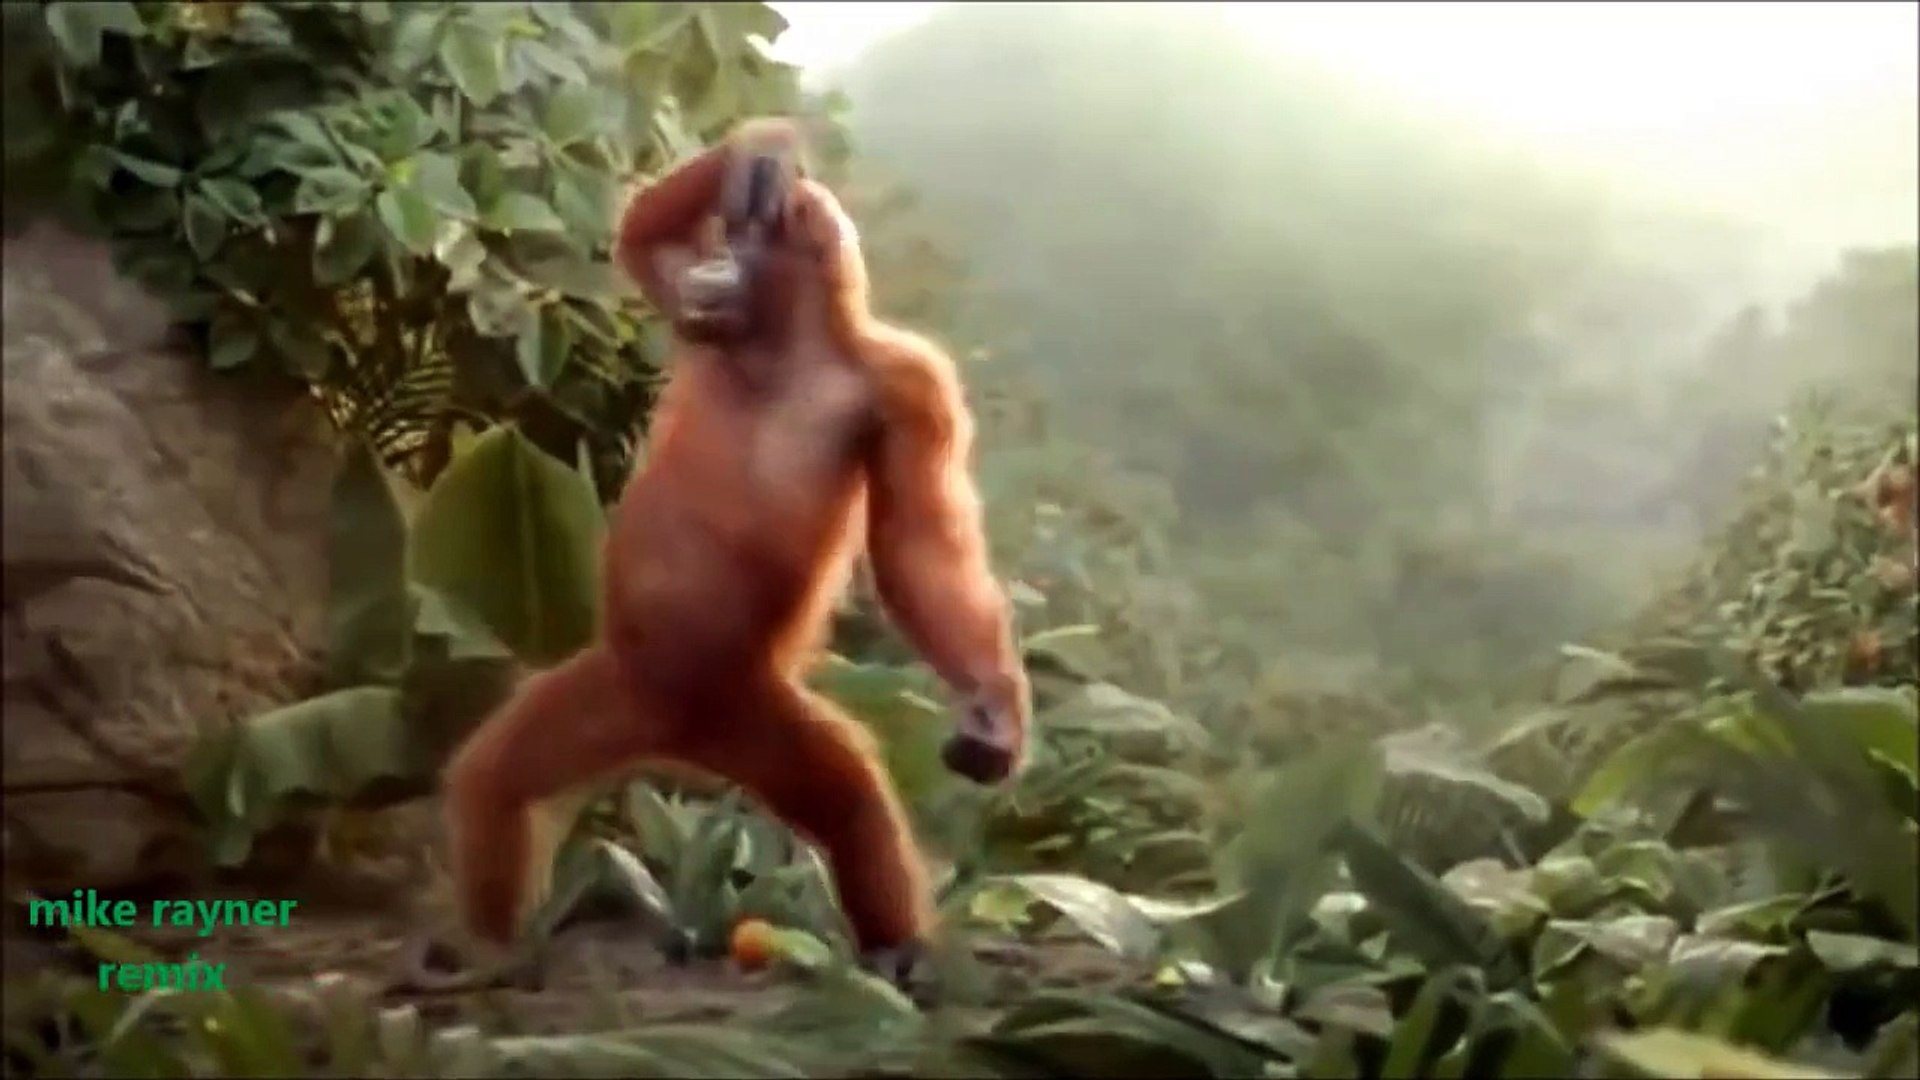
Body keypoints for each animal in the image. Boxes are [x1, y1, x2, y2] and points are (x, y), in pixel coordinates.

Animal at [399, 118, 1030, 994]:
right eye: (725, 235)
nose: (721, 259)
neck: (789, 347)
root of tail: (679, 738)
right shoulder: (695, 314)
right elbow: (640, 239)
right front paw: (757, 149)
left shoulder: (910, 386)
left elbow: (920, 545)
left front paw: (991, 704)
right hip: (623, 686)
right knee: (499, 783)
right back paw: (489, 948)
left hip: (747, 709)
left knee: (849, 804)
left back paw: (894, 949)